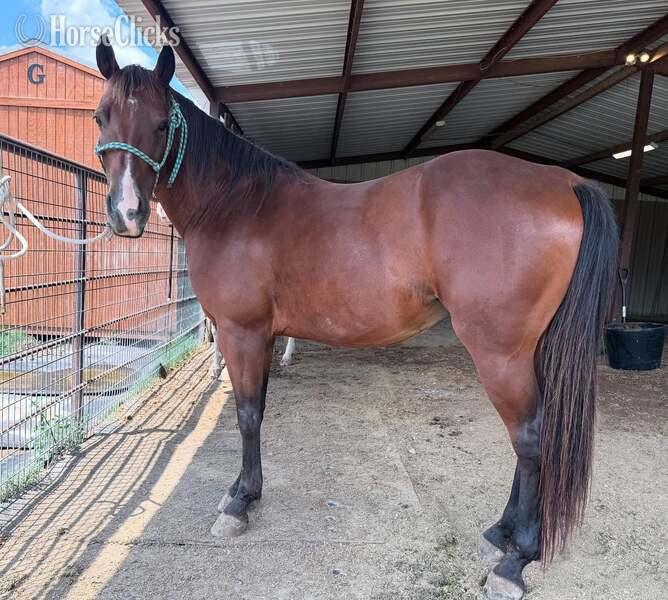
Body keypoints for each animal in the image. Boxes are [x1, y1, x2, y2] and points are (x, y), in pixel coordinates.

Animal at [93, 40, 618, 600]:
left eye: (161, 124)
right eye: (102, 116)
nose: (127, 215)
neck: (235, 204)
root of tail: (564, 181)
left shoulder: (242, 333)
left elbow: (247, 415)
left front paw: (238, 503)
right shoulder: (264, 337)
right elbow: (258, 410)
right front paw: (247, 492)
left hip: (500, 354)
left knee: (530, 439)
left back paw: (515, 560)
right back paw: (498, 536)